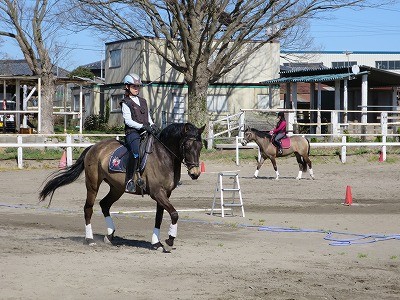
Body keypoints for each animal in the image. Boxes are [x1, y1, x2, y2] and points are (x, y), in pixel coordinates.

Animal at [39, 123, 205, 252]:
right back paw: (90, 239)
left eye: (200, 146)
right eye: (187, 145)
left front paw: (157, 243)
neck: (163, 157)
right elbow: (175, 214)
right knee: (88, 208)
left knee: (104, 204)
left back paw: (109, 235)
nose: (195, 173)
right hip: (93, 185)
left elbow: (159, 217)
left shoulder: (165, 194)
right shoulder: (157, 193)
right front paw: (170, 239)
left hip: (117, 188)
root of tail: (94, 147)